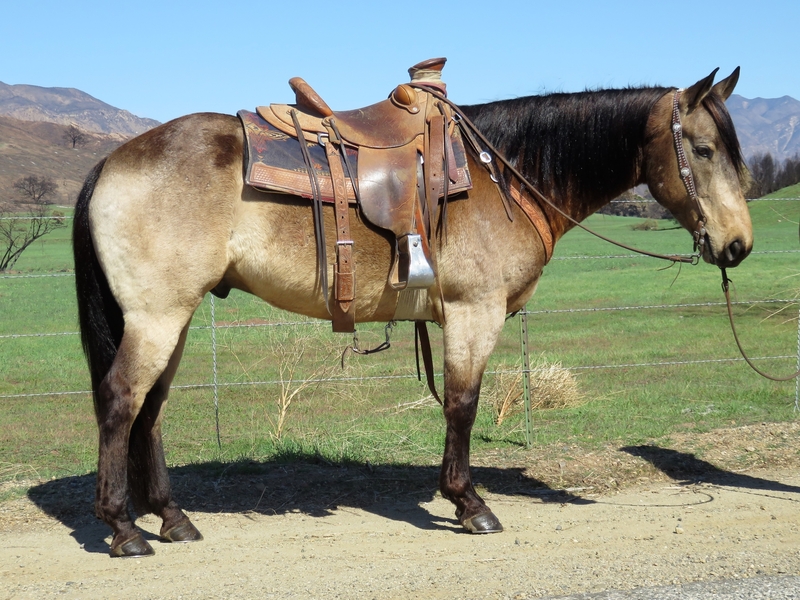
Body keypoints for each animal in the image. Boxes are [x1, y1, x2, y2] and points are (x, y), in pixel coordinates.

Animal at [72, 63, 752, 556]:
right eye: (704, 149)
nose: (738, 246)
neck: (504, 176)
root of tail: (111, 160)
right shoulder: (475, 312)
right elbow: (462, 405)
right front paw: (469, 504)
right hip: (157, 317)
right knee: (121, 401)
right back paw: (124, 529)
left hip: (172, 318)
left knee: (150, 410)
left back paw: (172, 518)